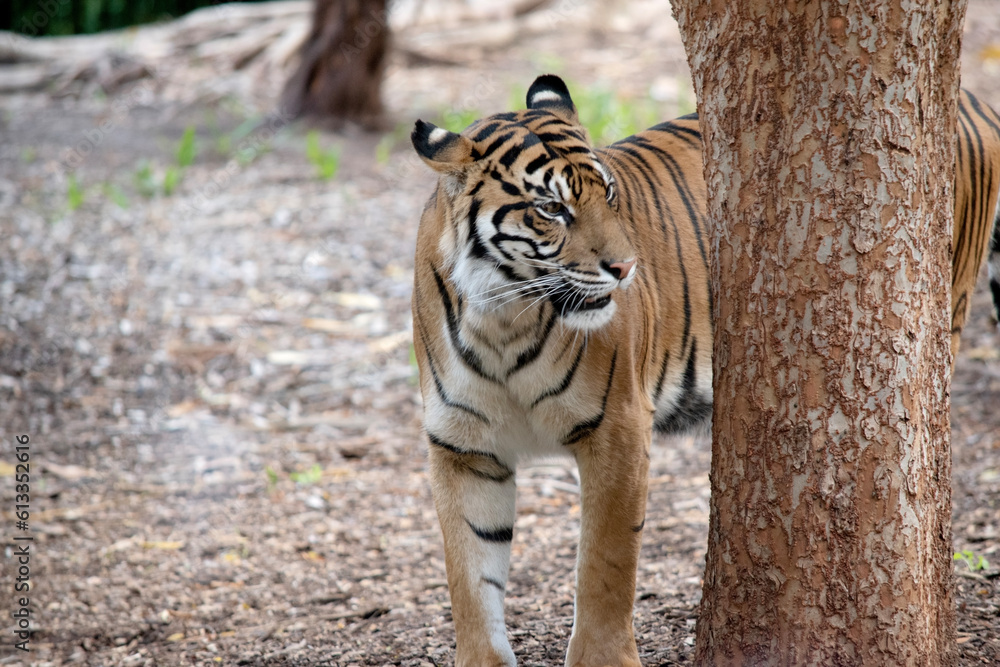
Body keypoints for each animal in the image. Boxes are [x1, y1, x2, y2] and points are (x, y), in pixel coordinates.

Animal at [409, 74, 1000, 667]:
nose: (626, 268)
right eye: (552, 208)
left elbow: (604, 566)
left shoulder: (618, 427)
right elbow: (470, 577)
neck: (502, 317)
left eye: (609, 194)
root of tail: (972, 99)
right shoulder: (464, 447)